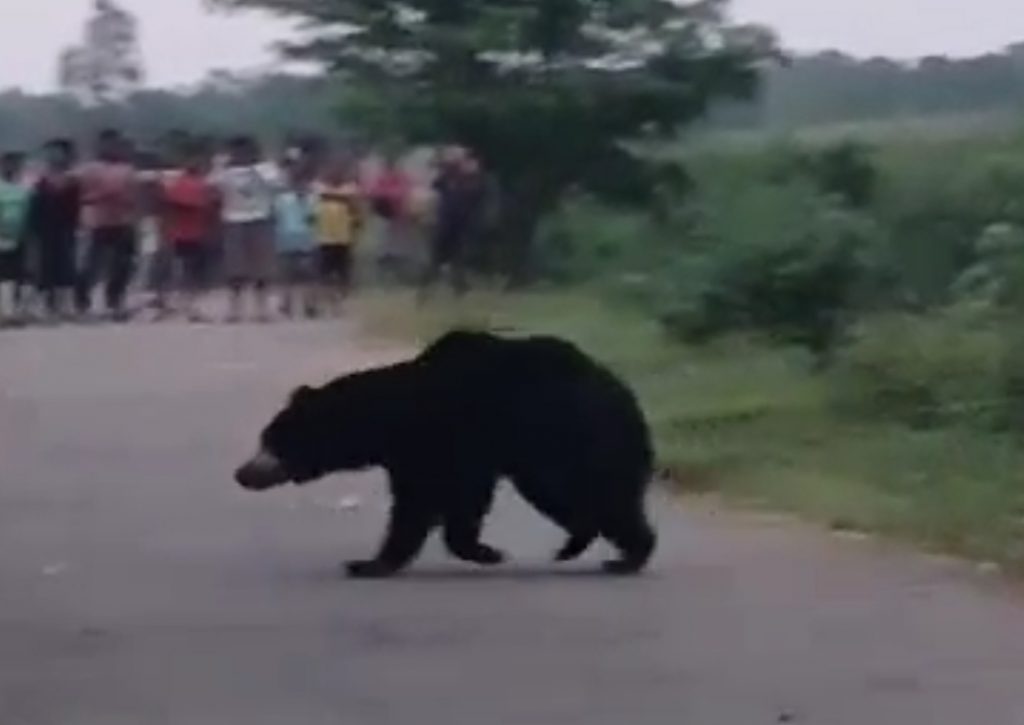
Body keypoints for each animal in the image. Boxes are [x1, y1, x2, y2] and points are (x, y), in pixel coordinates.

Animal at [235, 329, 655, 577]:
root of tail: (630, 400)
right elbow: (419, 503)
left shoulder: (452, 439)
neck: (392, 419)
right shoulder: (412, 454)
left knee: (586, 495)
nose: (242, 473)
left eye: (271, 441)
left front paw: (484, 551)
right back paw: (584, 545)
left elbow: (446, 499)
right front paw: (373, 561)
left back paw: (622, 555)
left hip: (569, 441)